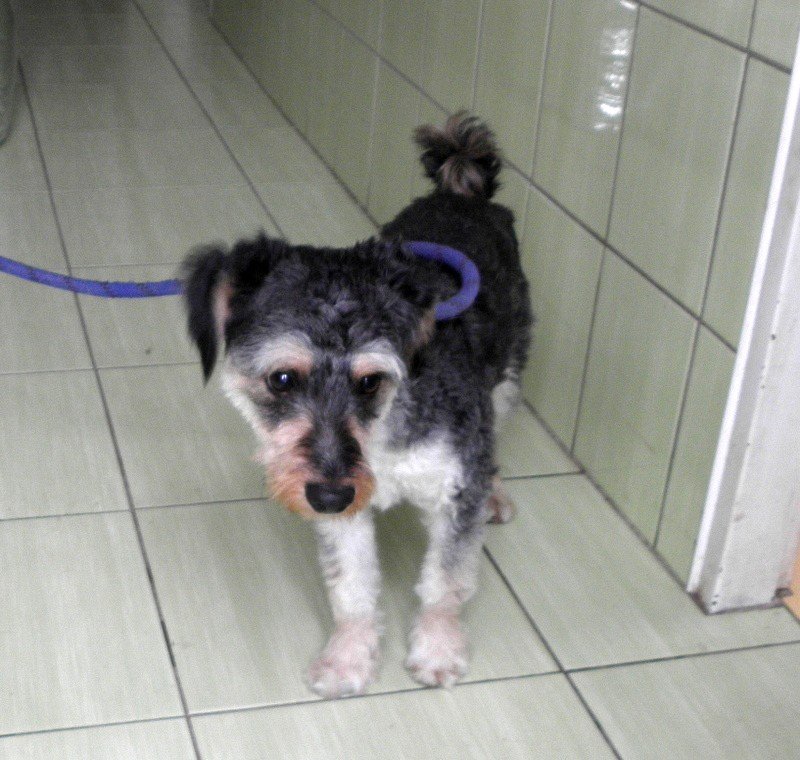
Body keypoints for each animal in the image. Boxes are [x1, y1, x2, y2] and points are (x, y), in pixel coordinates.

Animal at [181, 112, 532, 698]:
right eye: (281, 379)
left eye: (371, 381)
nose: (330, 494)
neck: (382, 438)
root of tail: (462, 192)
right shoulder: (339, 512)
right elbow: (352, 590)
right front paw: (348, 659)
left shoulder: (453, 487)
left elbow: (445, 582)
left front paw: (438, 650)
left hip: (506, 370)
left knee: (497, 429)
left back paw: (497, 493)